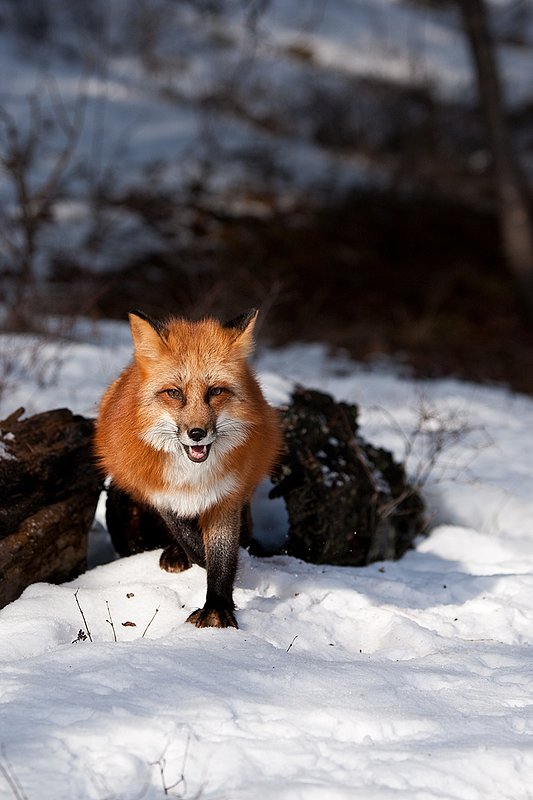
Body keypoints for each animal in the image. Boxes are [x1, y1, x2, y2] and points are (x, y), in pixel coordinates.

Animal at [94, 308, 282, 629]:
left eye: (216, 391)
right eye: (174, 393)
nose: (197, 434)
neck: (192, 476)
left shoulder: (226, 494)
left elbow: (221, 557)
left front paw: (217, 607)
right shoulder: (159, 491)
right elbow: (187, 537)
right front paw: (199, 558)